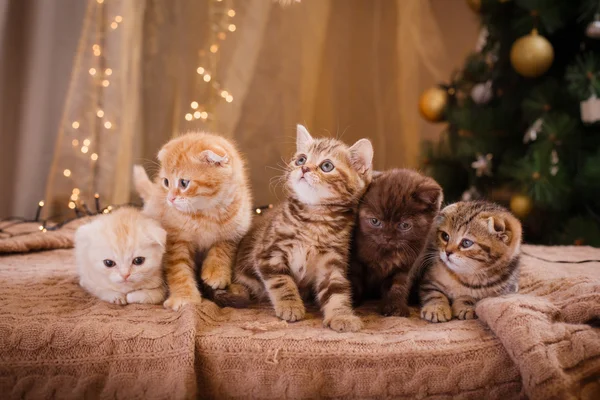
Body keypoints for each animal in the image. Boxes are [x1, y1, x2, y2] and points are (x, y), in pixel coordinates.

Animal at [132, 133, 252, 310]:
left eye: (183, 183)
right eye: (166, 182)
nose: (170, 199)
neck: (205, 214)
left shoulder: (236, 230)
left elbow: (223, 249)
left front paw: (216, 273)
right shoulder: (175, 240)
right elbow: (179, 270)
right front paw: (184, 297)